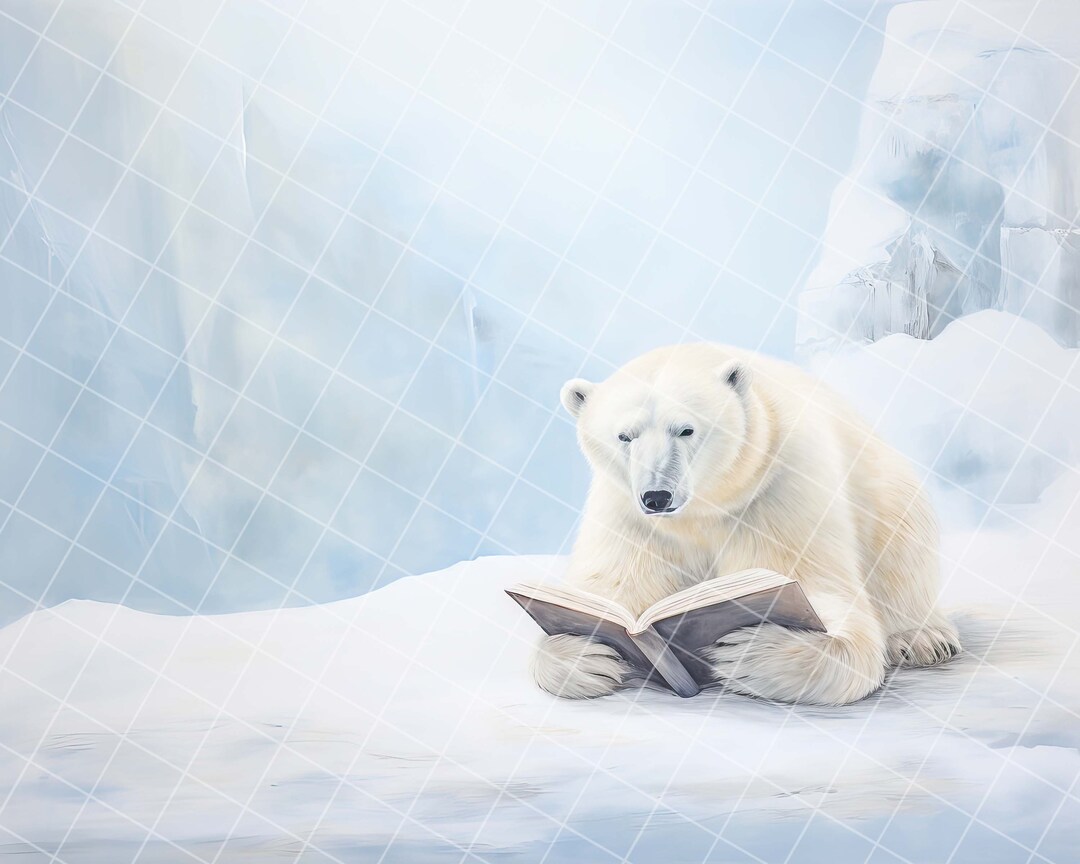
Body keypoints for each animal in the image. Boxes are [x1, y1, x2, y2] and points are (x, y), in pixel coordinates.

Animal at [531, 343, 960, 705]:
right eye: (625, 436)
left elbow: (819, 593)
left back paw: (921, 638)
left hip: (887, 493)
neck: (702, 510)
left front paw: (748, 653)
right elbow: (609, 589)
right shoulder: (627, 517)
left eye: (686, 429)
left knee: (901, 544)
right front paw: (588, 655)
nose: (656, 496)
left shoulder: (778, 490)